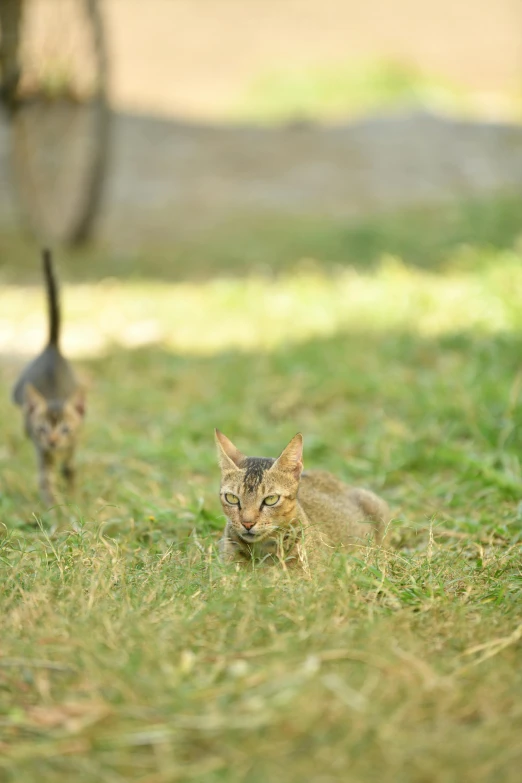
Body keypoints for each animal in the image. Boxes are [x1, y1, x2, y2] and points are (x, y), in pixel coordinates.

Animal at [11, 253, 84, 508]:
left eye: (65, 429)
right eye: (42, 429)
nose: (52, 441)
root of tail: (52, 346)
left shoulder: (72, 448)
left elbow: (70, 472)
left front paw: (73, 500)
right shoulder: (43, 454)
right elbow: (47, 483)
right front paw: (55, 508)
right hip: (18, 392)